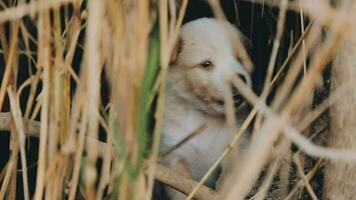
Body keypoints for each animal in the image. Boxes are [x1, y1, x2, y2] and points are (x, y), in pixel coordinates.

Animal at [160, 18, 252, 199]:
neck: (206, 118)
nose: (241, 79)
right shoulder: (174, 157)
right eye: (206, 64)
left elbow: (228, 184)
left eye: (240, 59)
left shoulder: (238, 148)